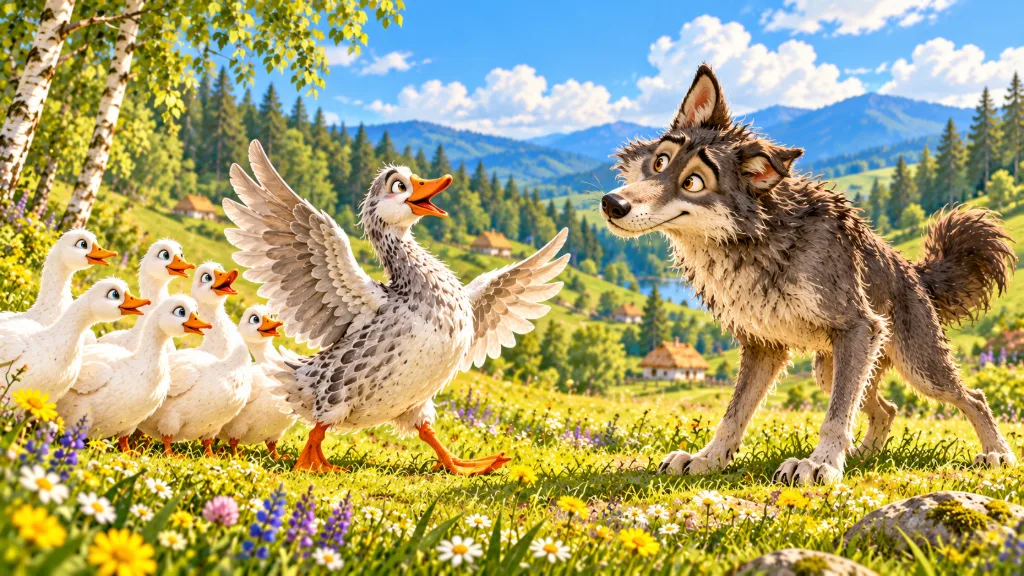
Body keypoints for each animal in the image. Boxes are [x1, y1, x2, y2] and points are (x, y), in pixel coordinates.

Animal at [601, 64, 1017, 486]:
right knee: (887, 409)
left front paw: (820, 464)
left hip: (918, 368)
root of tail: (916, 273)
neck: (756, 240)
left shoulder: (860, 328)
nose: (611, 203)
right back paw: (865, 455)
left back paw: (997, 453)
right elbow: (734, 415)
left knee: (972, 398)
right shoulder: (763, 346)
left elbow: (834, 418)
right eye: (659, 162)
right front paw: (708, 460)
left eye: (692, 182)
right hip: (832, 368)